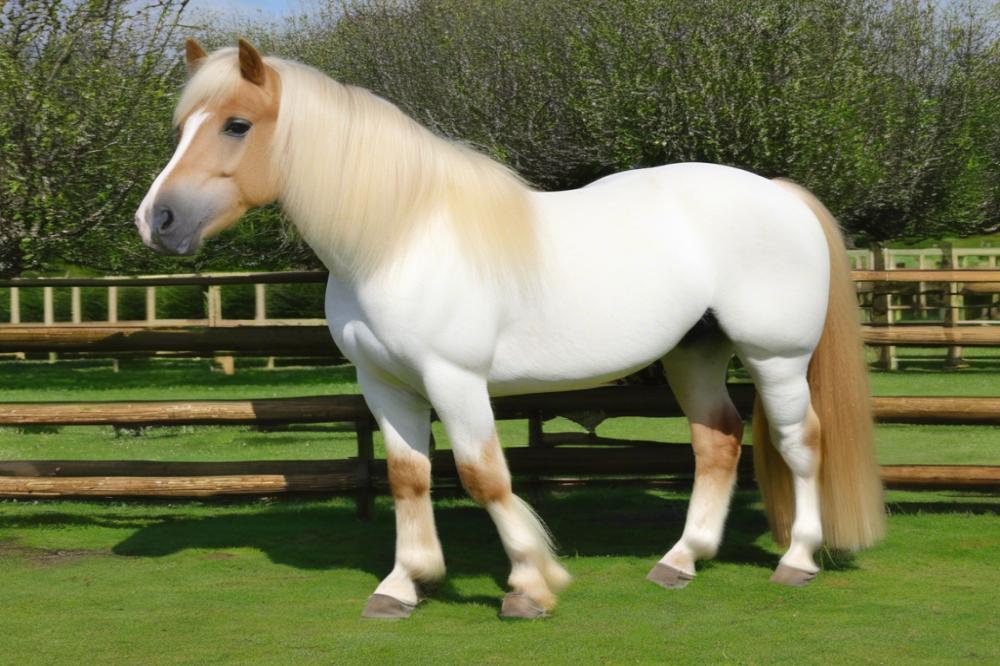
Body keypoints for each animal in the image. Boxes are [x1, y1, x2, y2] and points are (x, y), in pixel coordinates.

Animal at [135, 39, 884, 616]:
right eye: (181, 127)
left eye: (236, 124)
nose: (156, 221)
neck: (398, 239)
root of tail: (779, 194)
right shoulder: (385, 385)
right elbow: (408, 476)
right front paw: (403, 585)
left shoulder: (455, 381)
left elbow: (483, 476)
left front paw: (529, 583)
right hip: (693, 354)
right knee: (718, 442)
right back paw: (681, 560)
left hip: (775, 356)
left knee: (800, 442)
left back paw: (798, 559)